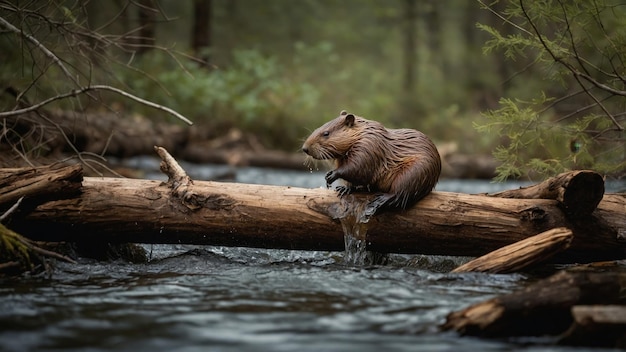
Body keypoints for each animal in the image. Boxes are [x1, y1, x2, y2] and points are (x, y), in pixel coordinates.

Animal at [302, 111, 438, 213]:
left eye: (326, 133)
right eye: (317, 128)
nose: (305, 148)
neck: (361, 134)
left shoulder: (368, 146)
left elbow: (357, 168)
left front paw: (331, 176)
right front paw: (344, 188)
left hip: (415, 172)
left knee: (400, 193)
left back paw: (379, 201)